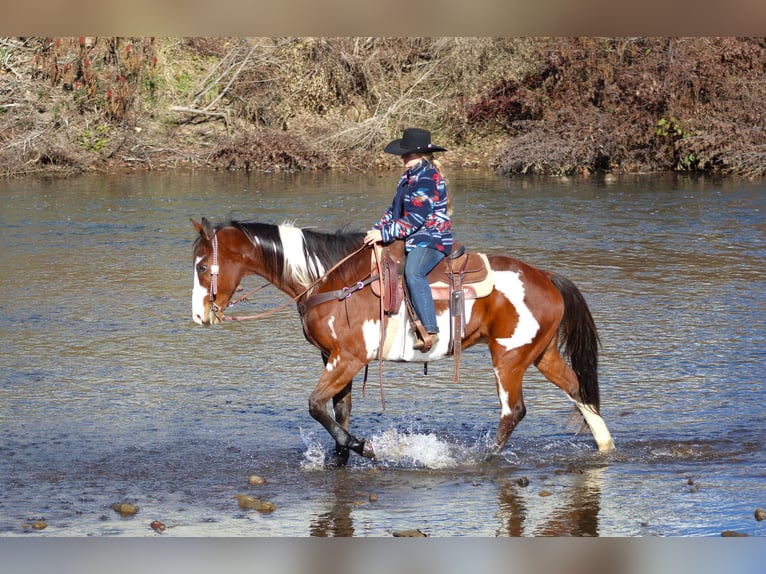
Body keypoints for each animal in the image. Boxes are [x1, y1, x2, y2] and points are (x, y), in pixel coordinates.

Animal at [194, 218, 616, 466]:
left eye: (201, 265)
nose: (199, 315)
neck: (332, 281)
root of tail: (546, 276)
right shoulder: (335, 358)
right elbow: (339, 409)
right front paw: (341, 456)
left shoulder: (348, 357)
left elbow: (316, 406)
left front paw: (365, 447)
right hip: (541, 354)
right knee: (578, 389)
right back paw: (605, 446)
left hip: (509, 358)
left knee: (514, 412)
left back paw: (482, 459)